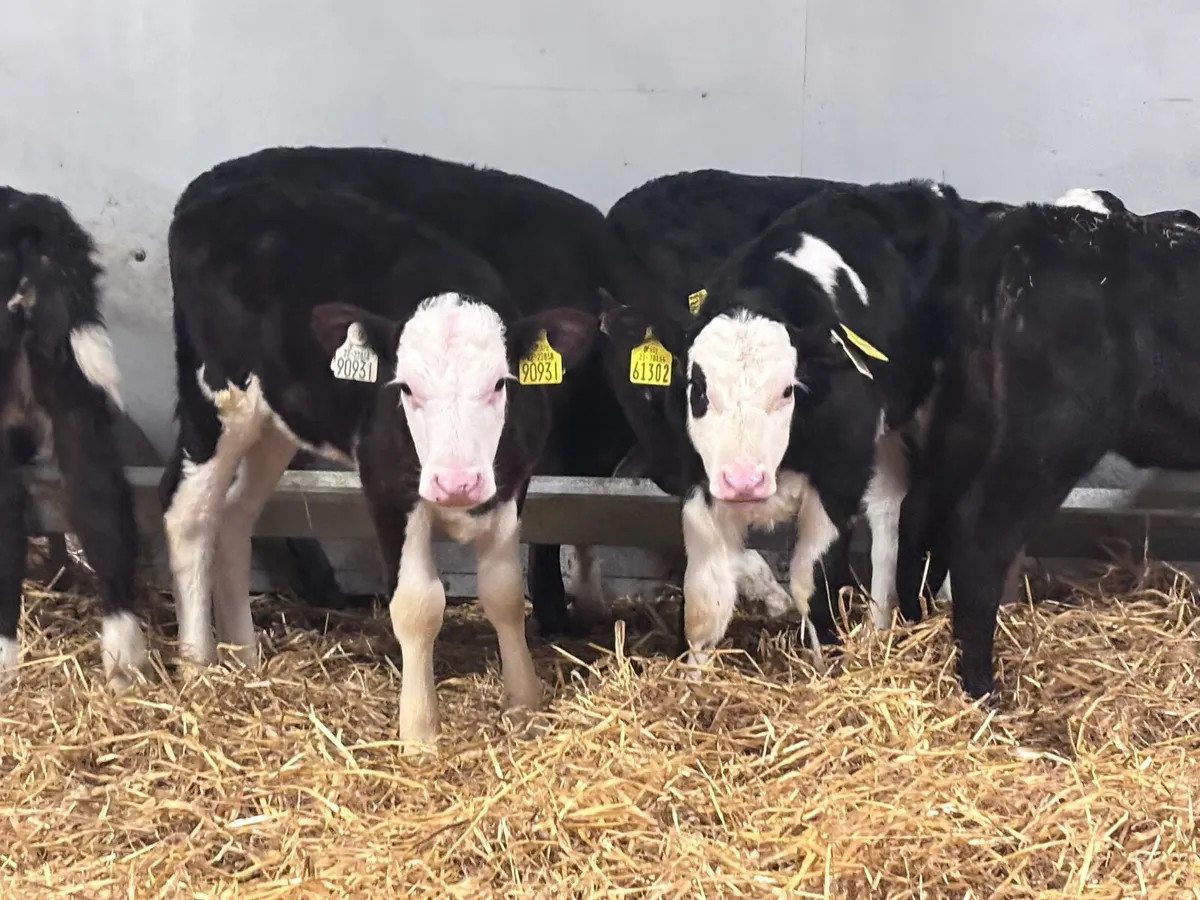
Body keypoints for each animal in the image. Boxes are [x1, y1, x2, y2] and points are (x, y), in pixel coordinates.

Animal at [160, 179, 598, 745]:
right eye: (405, 387)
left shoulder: (510, 482)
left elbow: (502, 591)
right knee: (189, 515)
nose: (456, 482)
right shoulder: (387, 485)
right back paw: (197, 667)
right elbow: (416, 605)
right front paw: (420, 733)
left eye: (501, 384)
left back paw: (245, 658)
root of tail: (207, 200)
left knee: (234, 514)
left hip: (278, 418)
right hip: (216, 397)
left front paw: (523, 704)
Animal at [894, 186, 1200, 699]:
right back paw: (982, 686)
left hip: (967, 410)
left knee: (922, 508)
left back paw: (912, 620)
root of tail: (1029, 225)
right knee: (981, 533)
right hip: (1056, 430)